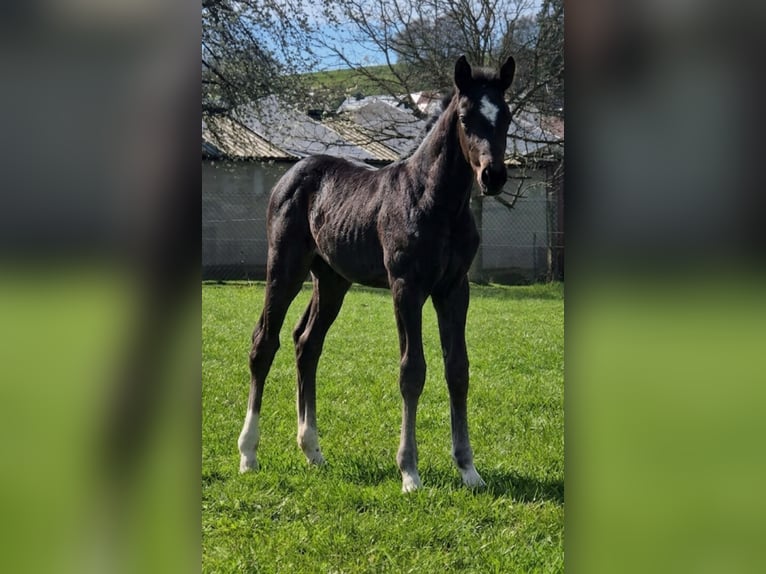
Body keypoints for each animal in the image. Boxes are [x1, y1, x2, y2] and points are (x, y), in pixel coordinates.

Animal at [238, 55, 515, 492]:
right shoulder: (406, 287)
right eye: (466, 117)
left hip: (332, 280)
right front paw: (410, 472)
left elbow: (458, 368)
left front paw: (469, 469)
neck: (436, 202)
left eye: (505, 116)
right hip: (284, 266)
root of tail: (293, 173)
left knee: (306, 343)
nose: (494, 176)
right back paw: (248, 453)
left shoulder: (454, 289)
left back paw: (312, 450)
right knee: (265, 341)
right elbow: (412, 370)